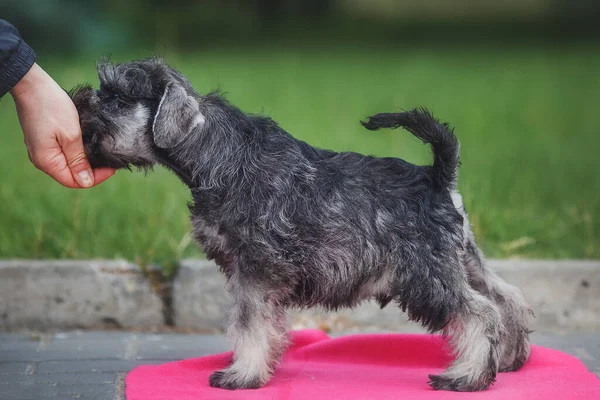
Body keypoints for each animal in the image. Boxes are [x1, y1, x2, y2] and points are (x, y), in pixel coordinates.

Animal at [71, 57, 536, 392]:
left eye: (115, 98)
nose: (75, 100)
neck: (215, 154)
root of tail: (440, 177)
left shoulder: (255, 267)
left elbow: (249, 322)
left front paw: (242, 374)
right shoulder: (252, 272)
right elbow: (263, 324)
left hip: (426, 274)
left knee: (479, 311)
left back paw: (467, 376)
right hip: (461, 259)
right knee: (507, 297)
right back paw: (507, 360)